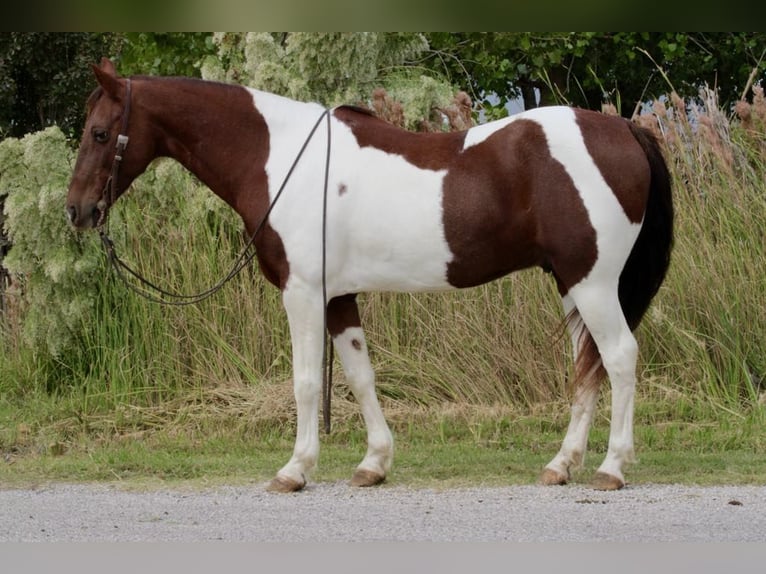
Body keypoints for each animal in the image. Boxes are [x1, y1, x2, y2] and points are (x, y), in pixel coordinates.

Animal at [66, 58, 673, 492]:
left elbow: (306, 381)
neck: (278, 157)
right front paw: (374, 463)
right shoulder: (338, 296)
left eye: (99, 133)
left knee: (619, 358)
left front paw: (295, 469)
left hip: (594, 283)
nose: (77, 211)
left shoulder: (302, 293)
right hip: (572, 283)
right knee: (588, 367)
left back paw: (611, 468)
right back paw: (561, 464)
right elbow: (359, 376)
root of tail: (626, 129)